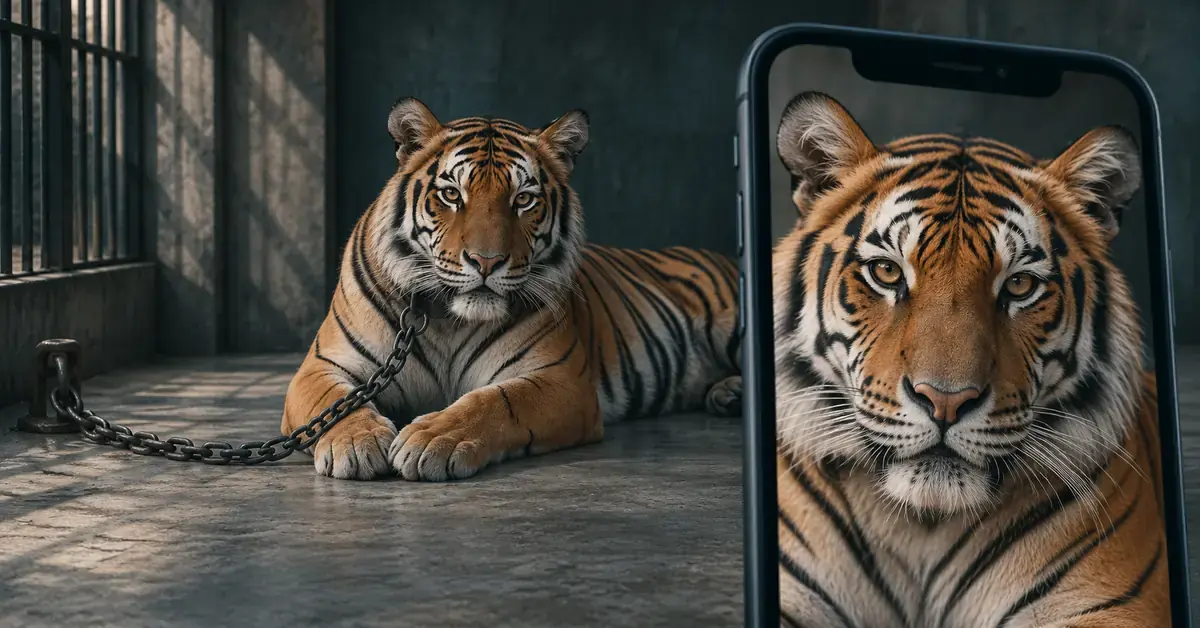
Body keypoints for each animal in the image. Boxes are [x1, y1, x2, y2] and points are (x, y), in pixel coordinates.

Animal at [280, 98, 742, 482]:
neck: (448, 318)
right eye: (452, 194)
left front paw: (431, 438)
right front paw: (356, 442)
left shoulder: (560, 378)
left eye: (523, 200)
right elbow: (332, 402)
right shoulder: (320, 366)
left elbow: (495, 401)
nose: (486, 261)